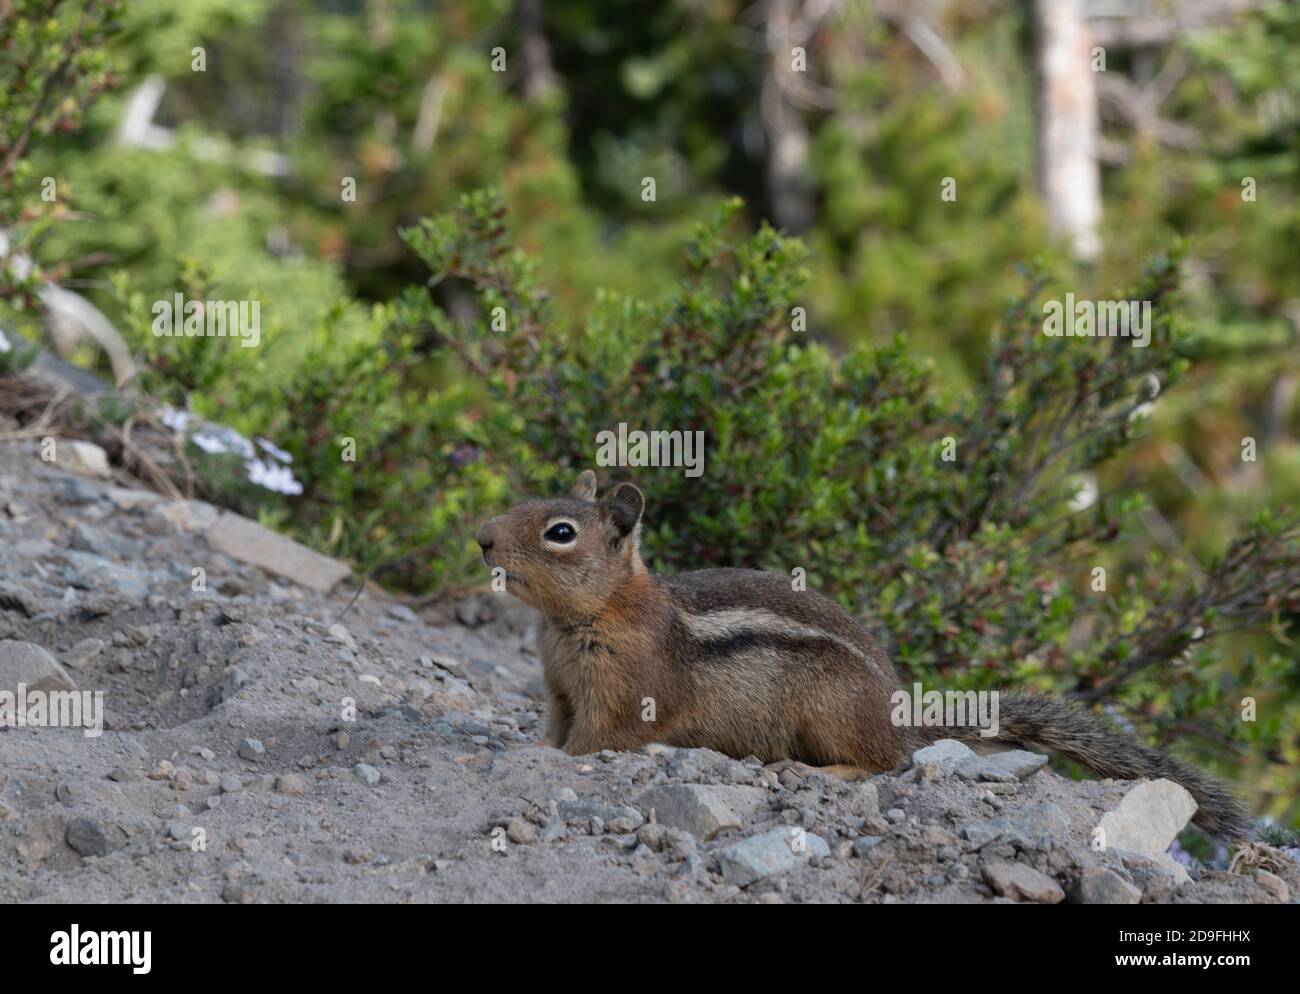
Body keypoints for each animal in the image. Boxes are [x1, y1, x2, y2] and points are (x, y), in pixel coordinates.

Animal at [476, 469, 1252, 843]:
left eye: (559, 531)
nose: (481, 537)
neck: (587, 616)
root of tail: (901, 712)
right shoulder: (560, 689)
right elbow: (552, 731)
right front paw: (526, 750)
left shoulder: (621, 697)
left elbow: (596, 743)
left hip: (831, 713)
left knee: (885, 762)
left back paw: (816, 769)